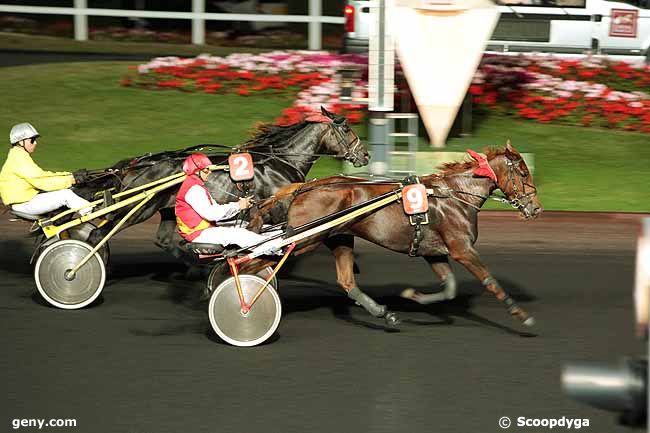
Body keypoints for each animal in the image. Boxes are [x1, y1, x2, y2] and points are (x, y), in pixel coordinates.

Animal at [240, 140, 540, 326]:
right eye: (524, 173)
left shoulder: (434, 252)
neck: (453, 195)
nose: (536, 208)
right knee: (252, 263)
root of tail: (304, 187)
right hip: (303, 240)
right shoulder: (462, 249)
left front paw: (412, 296)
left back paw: (383, 313)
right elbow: (490, 281)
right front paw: (521, 314)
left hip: (337, 237)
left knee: (347, 281)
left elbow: (450, 288)